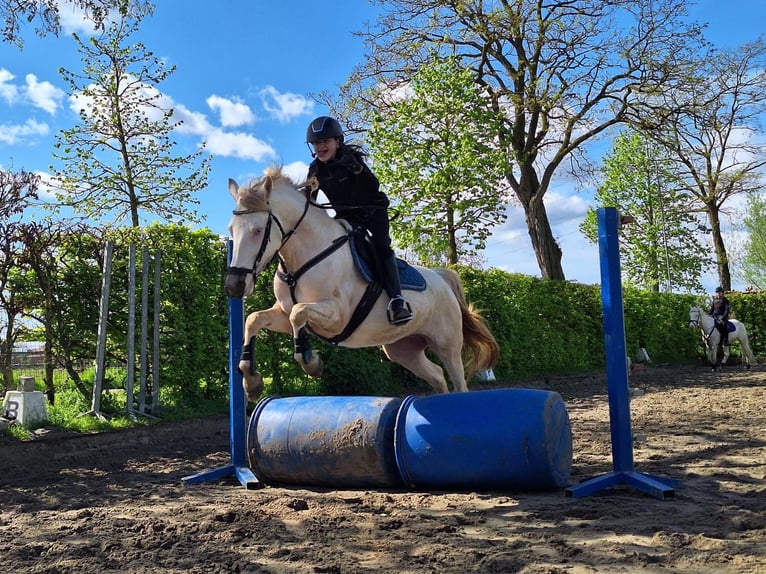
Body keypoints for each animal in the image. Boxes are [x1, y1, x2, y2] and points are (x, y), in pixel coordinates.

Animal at [224, 164, 498, 402]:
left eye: (258, 230)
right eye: (231, 229)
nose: (234, 286)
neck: (304, 258)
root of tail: (441, 278)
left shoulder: (337, 316)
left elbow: (299, 314)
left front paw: (312, 363)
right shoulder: (283, 312)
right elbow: (254, 319)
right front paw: (251, 381)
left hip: (447, 344)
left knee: (458, 381)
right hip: (403, 349)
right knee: (438, 376)